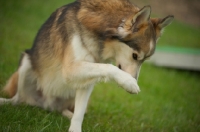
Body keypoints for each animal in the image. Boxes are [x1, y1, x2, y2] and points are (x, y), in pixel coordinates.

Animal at [0, 0, 173, 131]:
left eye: (145, 60)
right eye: (135, 56)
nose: (134, 79)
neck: (101, 35)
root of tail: (46, 106)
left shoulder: (87, 80)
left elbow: (80, 113)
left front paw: (75, 127)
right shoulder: (70, 69)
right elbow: (109, 68)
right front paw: (129, 82)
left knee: (66, 109)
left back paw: (67, 114)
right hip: (26, 62)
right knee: (19, 99)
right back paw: (6, 102)